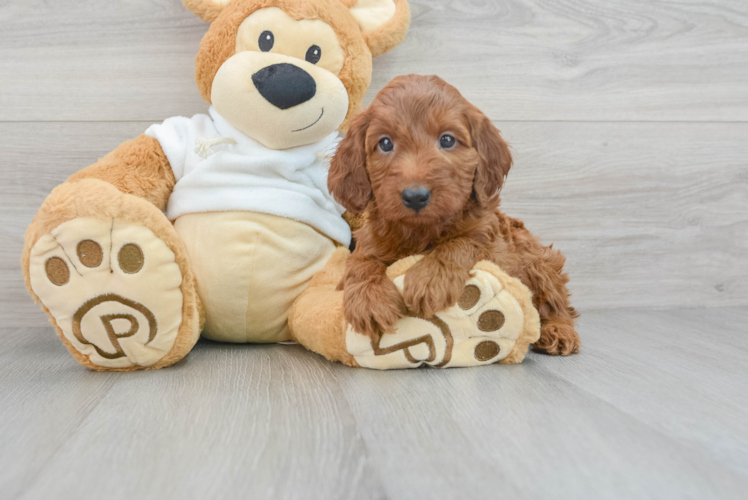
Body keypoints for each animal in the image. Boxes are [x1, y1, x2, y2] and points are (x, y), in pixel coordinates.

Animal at [330, 74, 580, 356]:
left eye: (447, 140)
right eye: (385, 143)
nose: (415, 196)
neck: (421, 230)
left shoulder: (489, 239)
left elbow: (460, 242)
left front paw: (429, 278)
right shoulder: (371, 241)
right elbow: (360, 263)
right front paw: (369, 300)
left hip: (539, 260)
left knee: (557, 302)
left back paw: (557, 331)